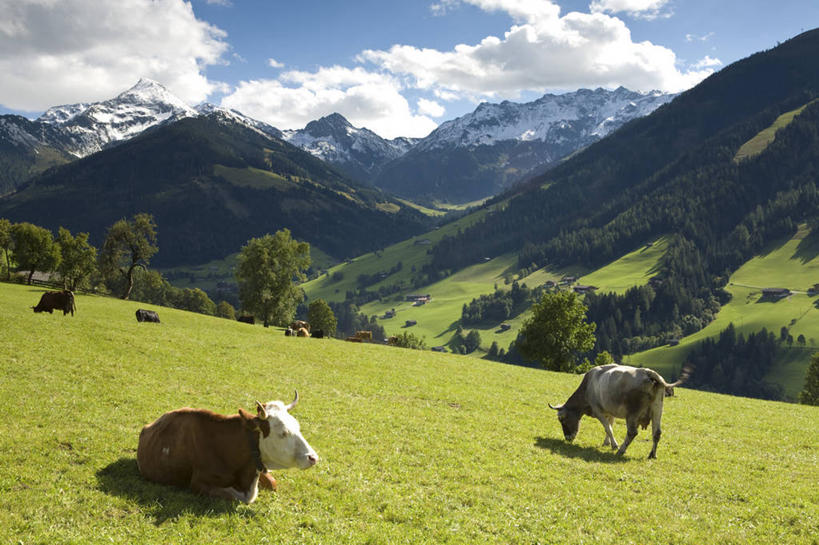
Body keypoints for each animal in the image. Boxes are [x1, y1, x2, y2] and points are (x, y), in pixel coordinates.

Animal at [138, 392, 318, 502]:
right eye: (283, 433)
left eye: (297, 426)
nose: (313, 457)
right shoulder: (198, 483)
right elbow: (237, 496)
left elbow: (273, 484)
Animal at [548, 364, 688, 456]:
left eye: (562, 419)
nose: (567, 438)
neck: (588, 386)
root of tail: (648, 373)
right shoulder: (610, 412)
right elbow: (610, 425)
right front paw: (607, 442)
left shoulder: (598, 411)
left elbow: (608, 428)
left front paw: (614, 445)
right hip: (657, 410)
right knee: (657, 433)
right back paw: (652, 455)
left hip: (632, 414)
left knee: (632, 432)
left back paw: (621, 450)